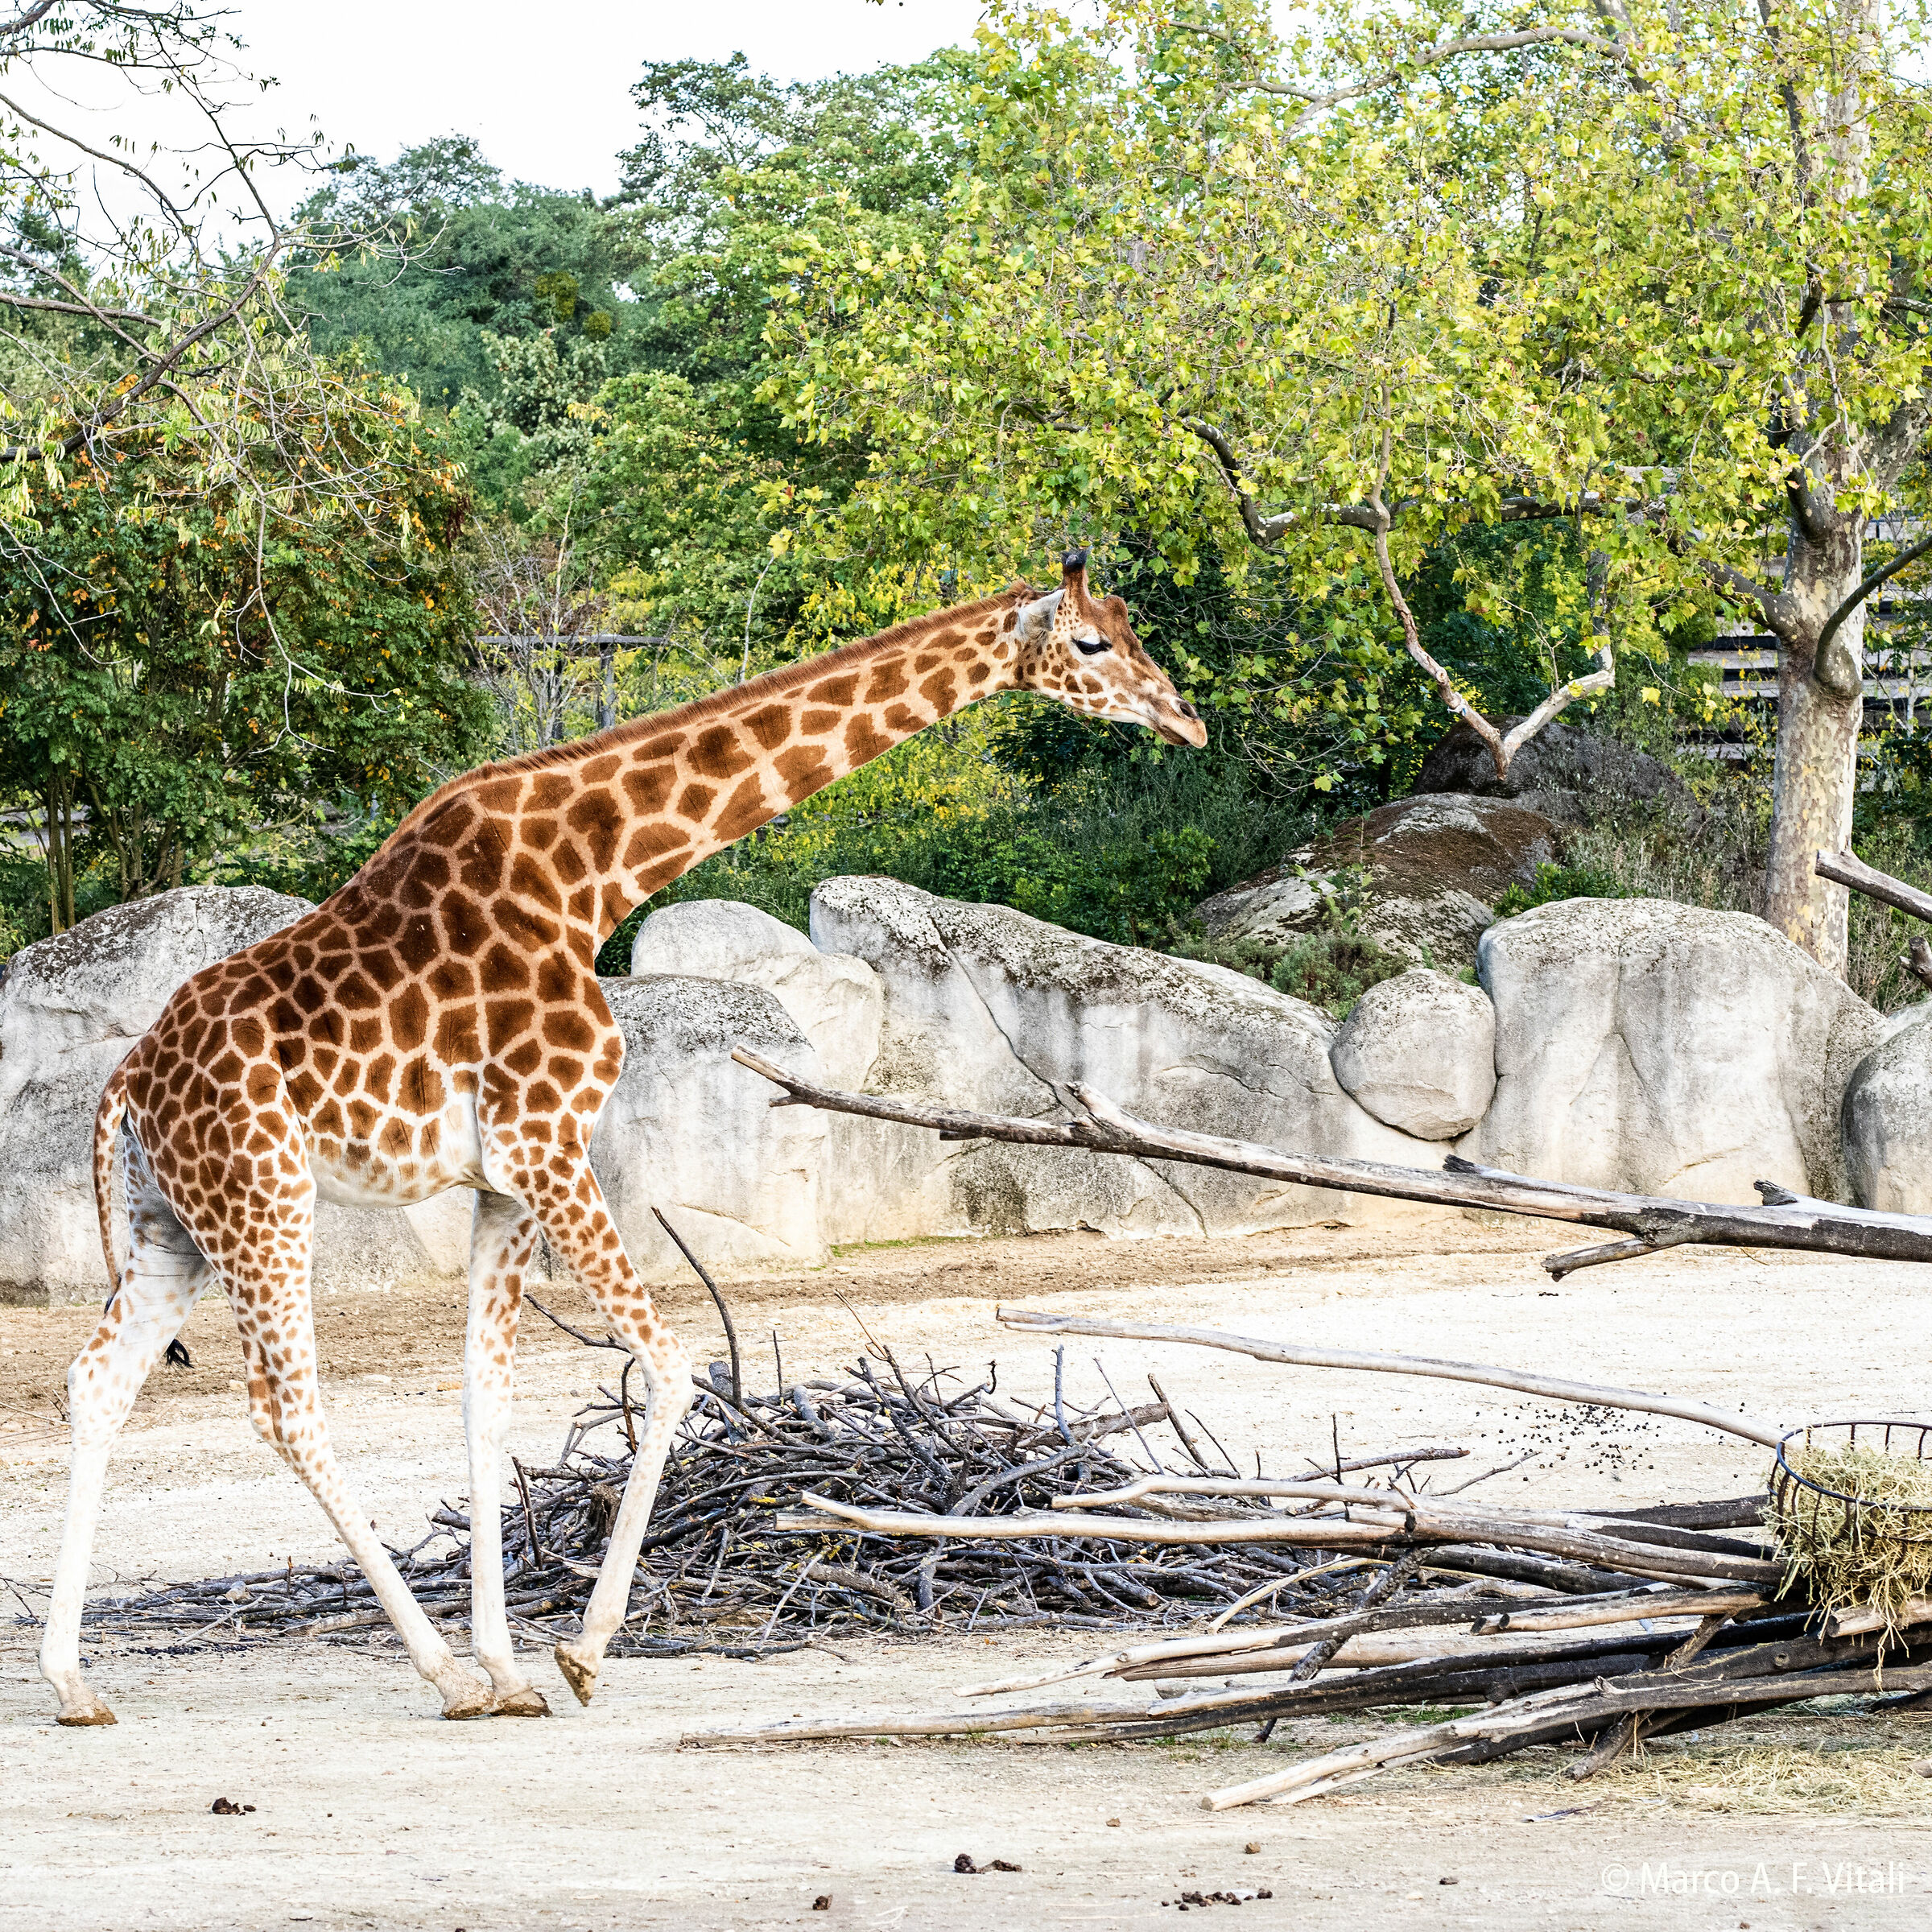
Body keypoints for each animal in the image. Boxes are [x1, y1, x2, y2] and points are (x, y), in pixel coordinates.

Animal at [40, 551, 1205, 1726]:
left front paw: (514, 1667)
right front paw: (579, 1650)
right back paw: (438, 1674)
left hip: (172, 1228)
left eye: (1131, 630)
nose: (1186, 718)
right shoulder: (549, 1143)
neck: (594, 873)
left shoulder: (506, 1179)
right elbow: (675, 1366)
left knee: (98, 1381)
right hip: (265, 1201)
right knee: (284, 1408)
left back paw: (74, 1681)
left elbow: (487, 1398)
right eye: (1093, 643)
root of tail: (126, 1089)